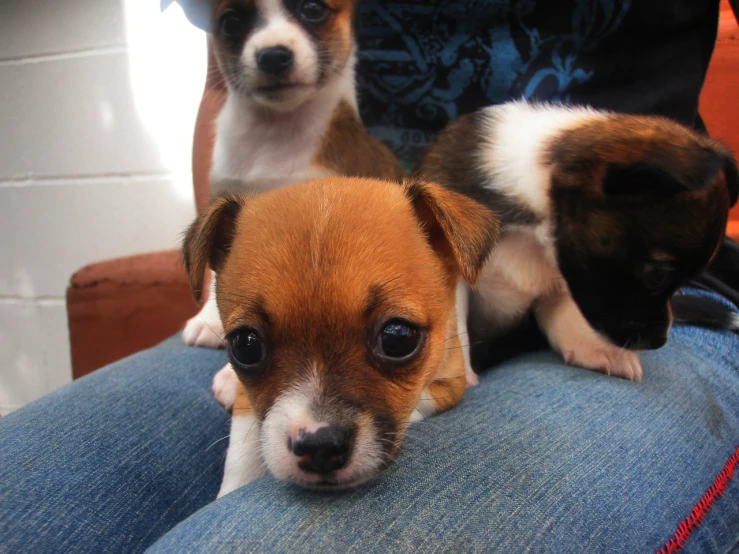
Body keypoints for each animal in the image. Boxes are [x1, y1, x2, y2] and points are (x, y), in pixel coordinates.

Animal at [182, 0, 408, 348]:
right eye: (231, 23)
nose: (273, 56)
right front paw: (208, 318)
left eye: (313, 10)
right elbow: (220, 266)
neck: (274, 133)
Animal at [416, 100, 739, 380]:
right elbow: (455, 327)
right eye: (657, 276)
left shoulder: (562, 282)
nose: (658, 342)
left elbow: (567, 313)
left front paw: (597, 349)